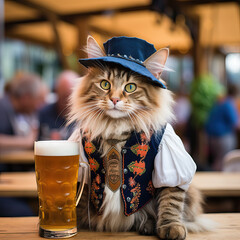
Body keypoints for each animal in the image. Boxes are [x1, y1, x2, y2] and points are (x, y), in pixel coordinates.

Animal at [68, 36, 211, 240]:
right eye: (105, 84)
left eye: (130, 87)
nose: (114, 99)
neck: (116, 128)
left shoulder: (171, 167)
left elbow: (171, 201)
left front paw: (171, 227)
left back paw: (148, 225)